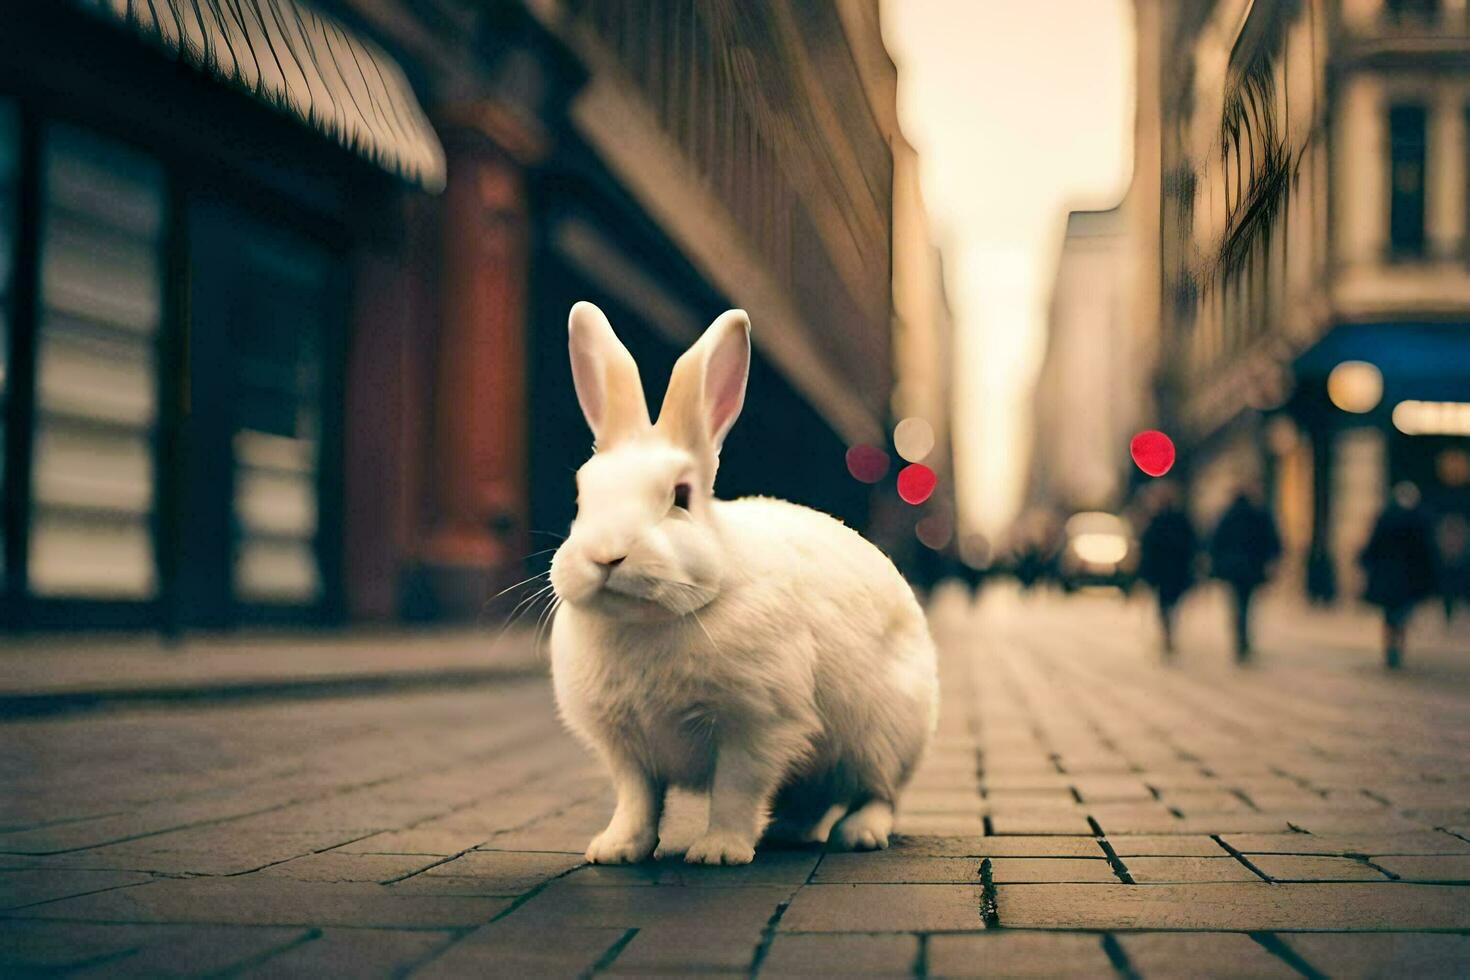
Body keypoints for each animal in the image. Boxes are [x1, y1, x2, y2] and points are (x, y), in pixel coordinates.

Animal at [546, 301, 934, 863]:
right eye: (580, 496)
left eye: (681, 496)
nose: (605, 555)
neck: (652, 620)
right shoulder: (628, 749)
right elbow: (638, 800)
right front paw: (616, 849)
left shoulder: (757, 727)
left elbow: (735, 790)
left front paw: (718, 852)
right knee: (811, 801)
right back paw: (785, 832)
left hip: (879, 738)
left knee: (875, 793)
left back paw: (858, 835)